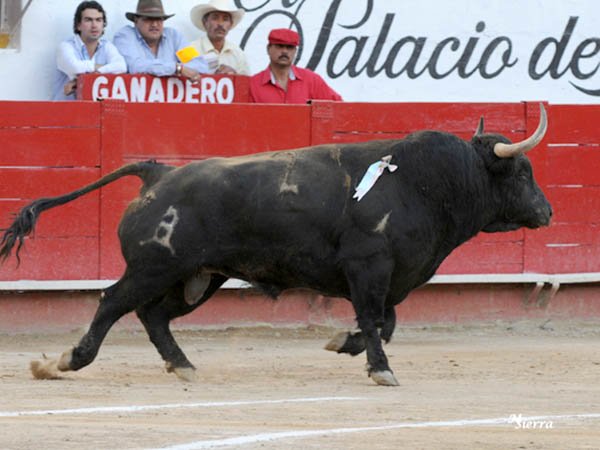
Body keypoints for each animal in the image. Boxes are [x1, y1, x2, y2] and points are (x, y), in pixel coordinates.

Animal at [0, 104, 551, 386]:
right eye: (523, 172)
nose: (547, 212)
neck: (426, 184)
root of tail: (158, 172)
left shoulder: (391, 277)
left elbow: (384, 322)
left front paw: (343, 344)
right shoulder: (369, 268)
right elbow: (378, 321)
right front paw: (381, 370)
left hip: (199, 277)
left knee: (153, 315)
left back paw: (183, 365)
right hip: (154, 267)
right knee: (113, 301)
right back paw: (67, 361)